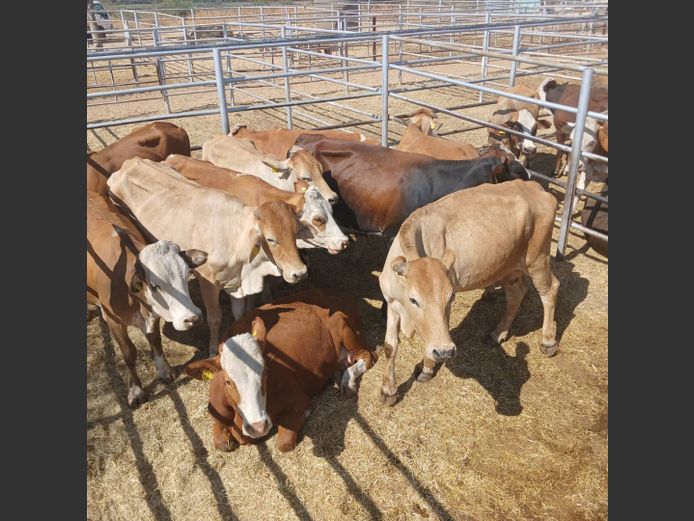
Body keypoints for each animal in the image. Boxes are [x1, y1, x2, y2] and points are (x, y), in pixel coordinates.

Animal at [87, 191, 207, 406]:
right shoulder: (114, 321)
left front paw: (165, 370)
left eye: (186, 275)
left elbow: (155, 340)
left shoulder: (152, 315)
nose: (193, 318)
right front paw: (136, 390)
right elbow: (129, 353)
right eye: (154, 285)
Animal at [107, 157, 307, 356]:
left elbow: (239, 313)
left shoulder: (235, 282)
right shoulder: (208, 282)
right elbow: (215, 319)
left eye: (296, 232)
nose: (300, 273)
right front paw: (212, 350)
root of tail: (131, 162)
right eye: (270, 239)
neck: (234, 236)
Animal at [183, 288, 378, 452]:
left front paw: (305, 414)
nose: (258, 426)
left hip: (345, 329)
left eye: (265, 375)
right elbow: (221, 443)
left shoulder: (297, 399)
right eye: (228, 382)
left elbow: (284, 444)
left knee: (368, 357)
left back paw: (348, 382)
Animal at [378, 179, 560, 405]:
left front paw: (427, 368)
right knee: (516, 294)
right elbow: (390, 347)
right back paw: (498, 333)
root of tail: (533, 186)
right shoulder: (391, 303)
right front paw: (388, 390)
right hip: (510, 268)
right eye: (414, 300)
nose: (446, 351)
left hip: (538, 259)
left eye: (450, 298)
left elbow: (435, 337)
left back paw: (548, 341)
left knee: (550, 291)